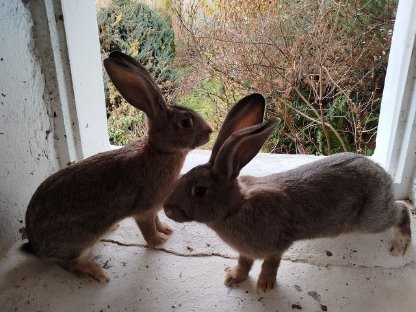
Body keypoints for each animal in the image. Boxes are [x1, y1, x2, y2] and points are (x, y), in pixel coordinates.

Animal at [21, 51, 213, 282]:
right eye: (185, 123)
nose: (210, 131)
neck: (159, 151)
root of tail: (37, 247)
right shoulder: (144, 208)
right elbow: (147, 229)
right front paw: (159, 241)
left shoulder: (154, 209)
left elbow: (157, 220)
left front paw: (166, 230)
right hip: (80, 239)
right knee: (68, 263)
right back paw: (97, 273)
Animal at [164, 110, 412, 292]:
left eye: (200, 190)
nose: (167, 209)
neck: (236, 207)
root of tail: (382, 173)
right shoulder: (245, 251)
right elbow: (244, 264)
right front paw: (233, 277)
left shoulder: (277, 245)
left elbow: (270, 263)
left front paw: (264, 285)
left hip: (371, 219)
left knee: (400, 210)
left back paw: (401, 244)